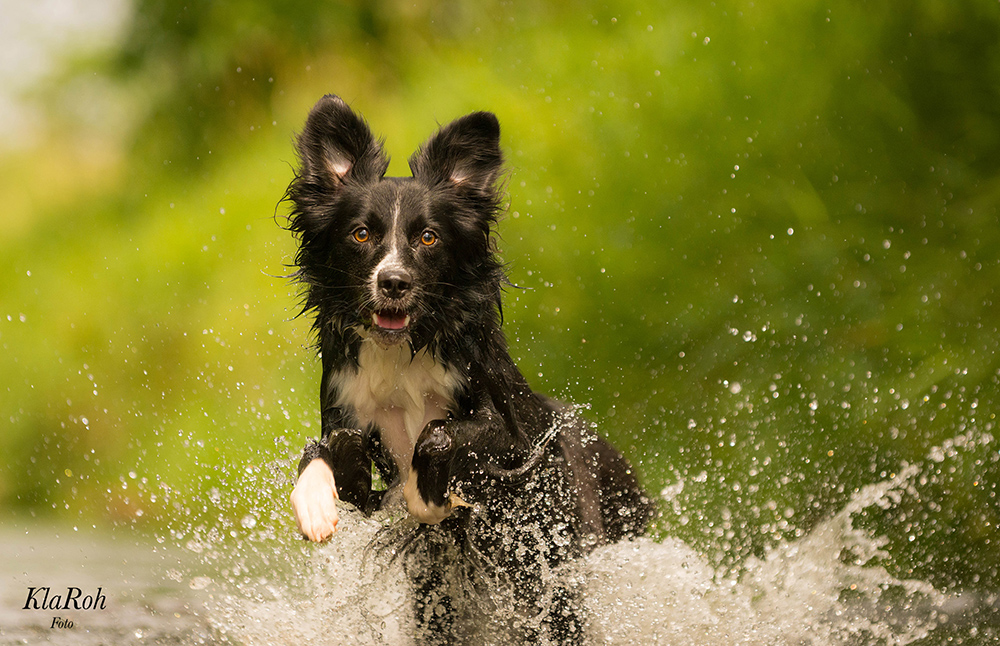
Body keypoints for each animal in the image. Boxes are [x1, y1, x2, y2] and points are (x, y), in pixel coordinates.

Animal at [284, 93, 656, 644]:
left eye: (429, 238)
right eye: (361, 234)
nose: (393, 282)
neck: (404, 351)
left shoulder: (516, 438)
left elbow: (440, 433)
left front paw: (426, 494)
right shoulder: (348, 413)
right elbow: (333, 448)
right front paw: (315, 504)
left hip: (554, 575)